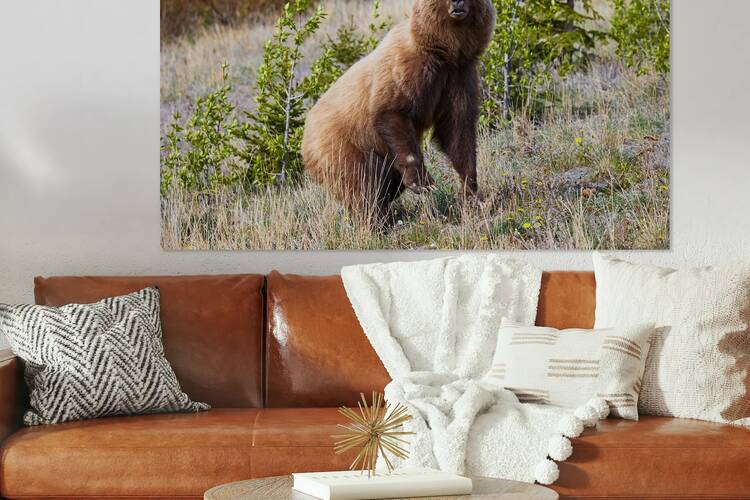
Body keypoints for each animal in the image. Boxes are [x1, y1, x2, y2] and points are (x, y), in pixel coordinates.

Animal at [301, 0, 497, 217]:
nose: (457, 2)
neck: (444, 52)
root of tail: (305, 133)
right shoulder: (408, 68)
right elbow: (392, 109)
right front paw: (423, 182)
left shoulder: (459, 76)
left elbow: (457, 128)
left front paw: (472, 192)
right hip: (343, 145)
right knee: (361, 184)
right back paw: (377, 217)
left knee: (388, 183)